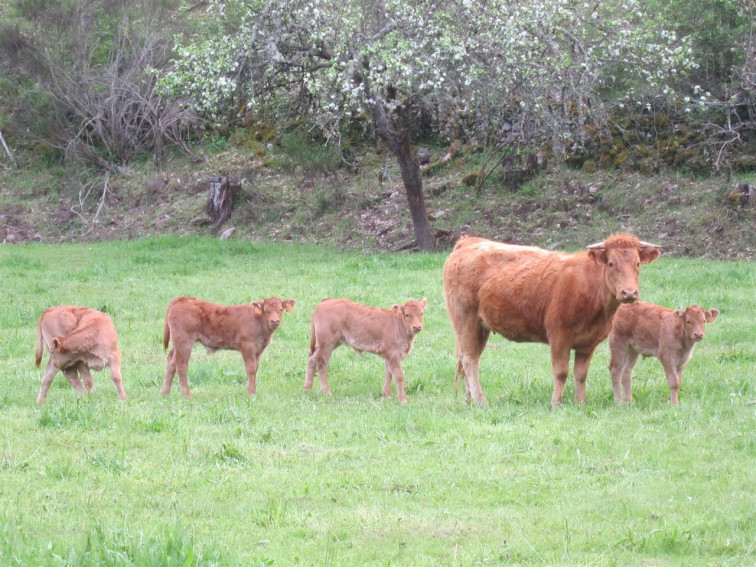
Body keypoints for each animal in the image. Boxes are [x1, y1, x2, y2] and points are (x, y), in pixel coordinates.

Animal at [162, 296, 296, 398]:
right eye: (266, 310)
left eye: (280, 309)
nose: (275, 321)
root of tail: (182, 299)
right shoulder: (247, 347)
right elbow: (251, 369)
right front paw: (251, 394)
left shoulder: (258, 350)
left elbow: (256, 369)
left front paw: (253, 391)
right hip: (184, 341)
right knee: (181, 366)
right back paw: (187, 395)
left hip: (178, 343)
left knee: (171, 361)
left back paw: (165, 393)